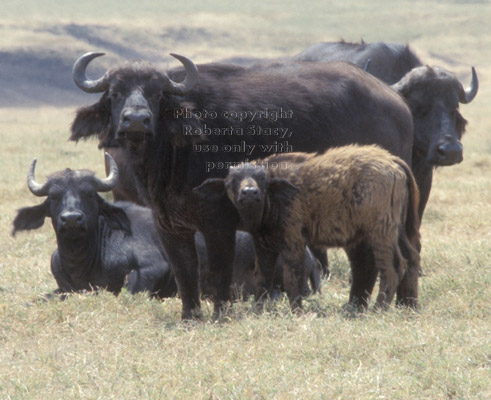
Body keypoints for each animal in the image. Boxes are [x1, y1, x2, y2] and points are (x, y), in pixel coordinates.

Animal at [70, 51, 416, 318]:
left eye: (156, 94)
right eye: (115, 93)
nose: (136, 120)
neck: (175, 154)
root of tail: (396, 100)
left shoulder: (217, 221)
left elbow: (219, 269)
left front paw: (221, 313)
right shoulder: (169, 225)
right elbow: (184, 271)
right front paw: (190, 316)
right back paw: (382, 305)